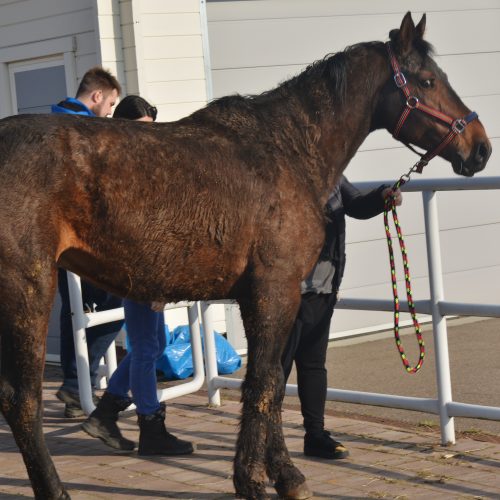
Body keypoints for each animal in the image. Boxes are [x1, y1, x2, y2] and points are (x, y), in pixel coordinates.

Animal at [0, 11, 492, 500]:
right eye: (427, 80)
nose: (480, 147)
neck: (288, 149)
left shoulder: (269, 296)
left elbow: (272, 380)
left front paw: (283, 474)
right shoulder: (274, 292)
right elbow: (265, 383)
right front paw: (256, 479)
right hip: (28, 292)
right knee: (21, 400)